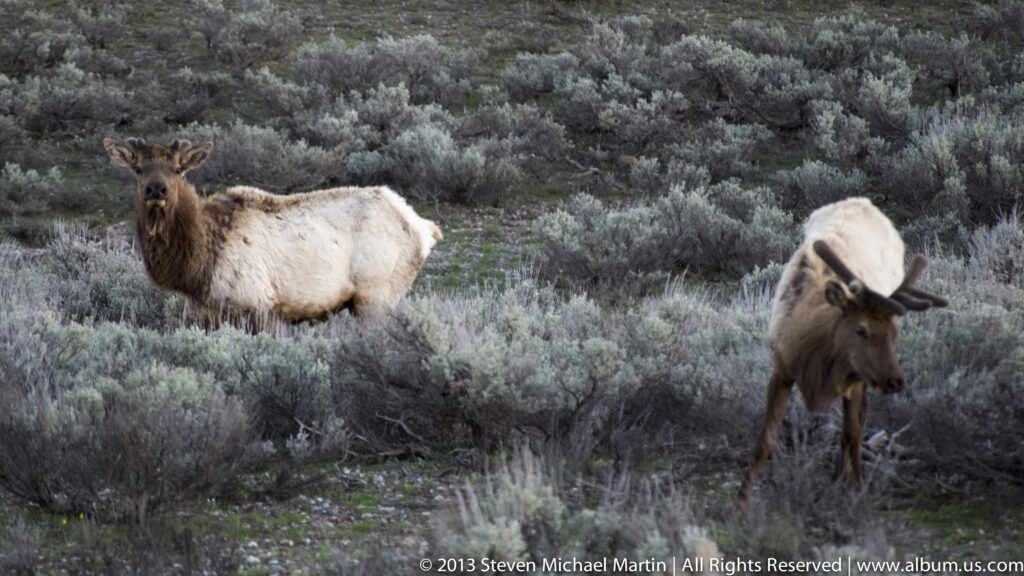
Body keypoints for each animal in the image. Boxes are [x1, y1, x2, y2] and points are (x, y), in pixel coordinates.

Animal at [103, 137, 441, 329]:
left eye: (177, 169)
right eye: (138, 169)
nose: (156, 190)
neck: (195, 269)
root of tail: (425, 228)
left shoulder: (261, 306)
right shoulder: (207, 316)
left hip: (377, 293)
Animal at [737, 197, 948, 506]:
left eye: (894, 333)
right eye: (860, 330)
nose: (895, 381)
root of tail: (864, 201)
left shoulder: (854, 378)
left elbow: (853, 436)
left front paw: (860, 496)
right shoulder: (782, 369)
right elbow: (763, 442)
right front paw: (739, 505)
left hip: (864, 377)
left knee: (856, 427)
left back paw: (842, 479)